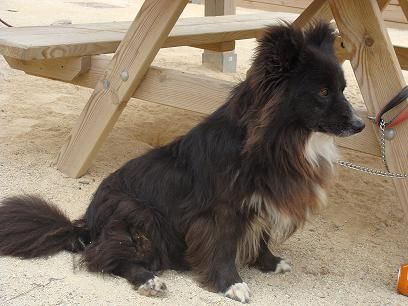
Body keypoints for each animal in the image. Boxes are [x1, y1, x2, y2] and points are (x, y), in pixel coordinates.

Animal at [0, 22, 364, 302]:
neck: (276, 139)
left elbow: (261, 236)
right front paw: (232, 285)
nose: (361, 125)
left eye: (343, 89)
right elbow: (222, 249)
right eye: (322, 92)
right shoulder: (220, 212)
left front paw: (270, 263)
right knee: (104, 257)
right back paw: (149, 280)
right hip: (142, 216)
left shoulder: (260, 201)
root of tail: (88, 223)